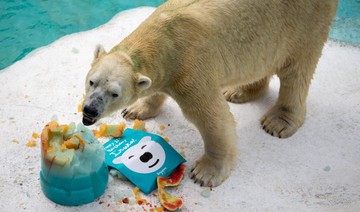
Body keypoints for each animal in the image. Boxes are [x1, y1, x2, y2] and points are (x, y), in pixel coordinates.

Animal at [82, 0, 338, 186]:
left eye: (114, 93)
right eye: (91, 81)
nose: (89, 110)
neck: (165, 36)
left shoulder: (191, 67)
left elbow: (213, 118)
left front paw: (205, 173)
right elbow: (154, 89)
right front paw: (136, 109)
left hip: (305, 21)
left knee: (297, 70)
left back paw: (278, 121)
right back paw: (238, 92)